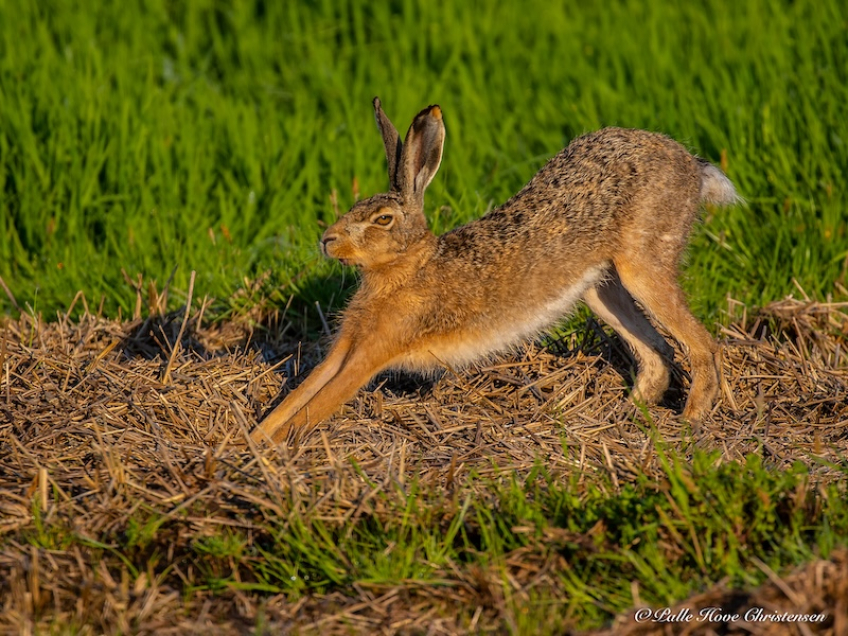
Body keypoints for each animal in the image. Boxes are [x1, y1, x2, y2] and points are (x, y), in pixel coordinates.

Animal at [250, 98, 742, 445]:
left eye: (383, 219)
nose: (327, 241)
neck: (407, 267)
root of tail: (692, 166)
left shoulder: (372, 353)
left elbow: (319, 405)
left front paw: (271, 450)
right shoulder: (345, 348)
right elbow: (301, 393)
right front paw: (251, 442)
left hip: (642, 266)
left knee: (702, 345)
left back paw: (689, 422)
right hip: (599, 288)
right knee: (658, 352)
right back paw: (621, 415)